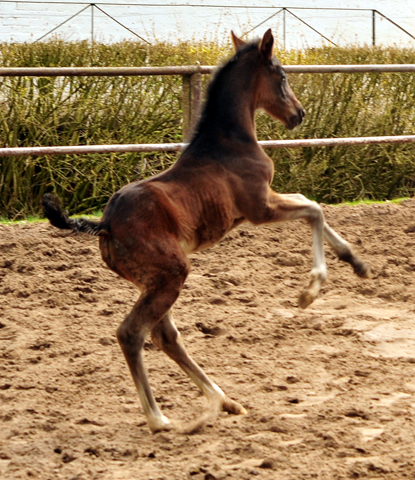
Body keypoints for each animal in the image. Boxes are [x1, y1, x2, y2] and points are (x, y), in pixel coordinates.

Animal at [42, 31, 370, 436]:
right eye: (280, 77)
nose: (299, 114)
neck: (230, 142)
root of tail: (104, 224)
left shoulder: (263, 202)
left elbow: (310, 205)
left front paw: (356, 262)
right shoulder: (259, 209)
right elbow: (314, 209)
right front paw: (309, 292)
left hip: (152, 280)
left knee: (165, 336)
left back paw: (222, 401)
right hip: (171, 274)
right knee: (132, 334)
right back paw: (160, 418)